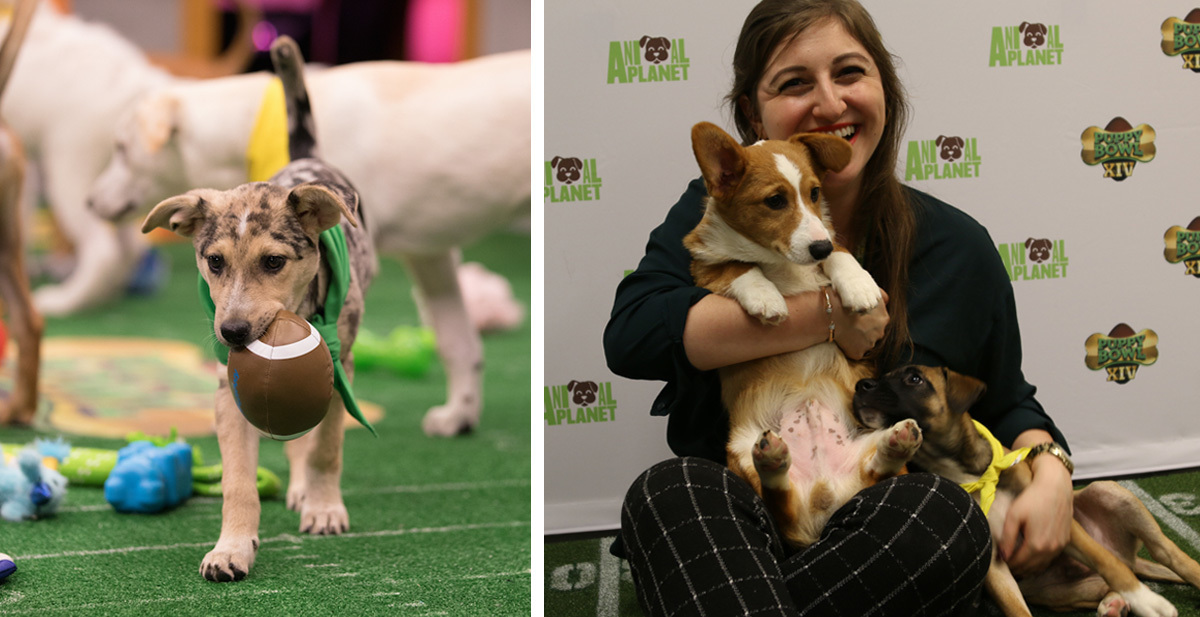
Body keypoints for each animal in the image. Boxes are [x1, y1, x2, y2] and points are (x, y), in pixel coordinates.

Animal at [88, 51, 530, 436]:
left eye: (122, 149)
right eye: (214, 262)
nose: (89, 202)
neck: (260, 122)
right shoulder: (429, 253)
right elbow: (459, 342)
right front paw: (461, 414)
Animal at [686, 121, 916, 547]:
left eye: (814, 193)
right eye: (775, 201)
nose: (817, 247)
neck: (780, 260)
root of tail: (824, 500)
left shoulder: (830, 239)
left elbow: (841, 253)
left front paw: (859, 286)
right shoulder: (703, 267)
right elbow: (737, 267)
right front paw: (766, 297)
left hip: (866, 442)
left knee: (879, 471)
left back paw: (896, 445)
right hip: (741, 451)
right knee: (779, 502)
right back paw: (773, 461)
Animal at [854, 364, 1200, 614]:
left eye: (914, 378)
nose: (861, 386)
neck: (965, 469)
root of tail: (1133, 558)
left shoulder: (1057, 524)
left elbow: (1107, 562)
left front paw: (1147, 601)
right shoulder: (996, 565)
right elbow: (1017, 610)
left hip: (1111, 492)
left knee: (1166, 555)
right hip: (1061, 592)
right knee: (1103, 586)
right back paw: (1113, 604)